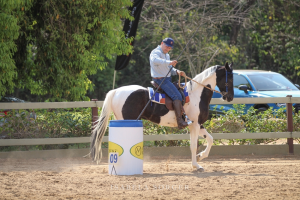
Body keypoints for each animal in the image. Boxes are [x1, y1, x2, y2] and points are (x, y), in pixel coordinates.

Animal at [91, 62, 234, 170]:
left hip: (120, 120)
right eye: (231, 78)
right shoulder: (195, 125)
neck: (196, 94)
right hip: (127, 120)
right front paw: (196, 165)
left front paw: (200, 157)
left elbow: (210, 139)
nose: (230, 97)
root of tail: (116, 91)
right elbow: (194, 145)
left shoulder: (198, 124)